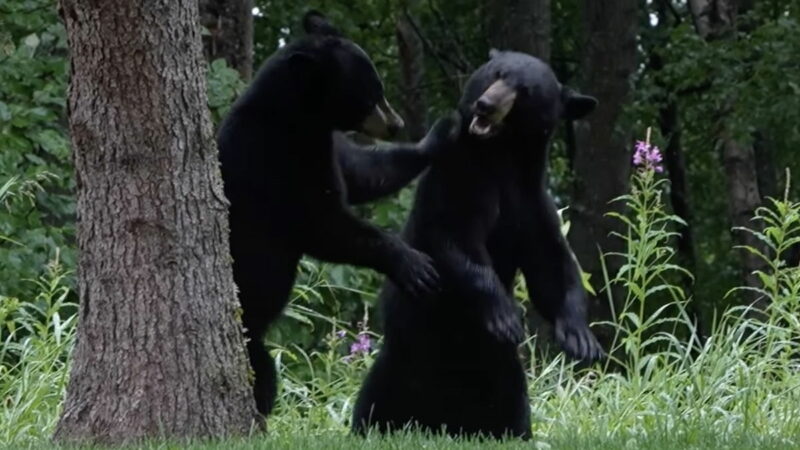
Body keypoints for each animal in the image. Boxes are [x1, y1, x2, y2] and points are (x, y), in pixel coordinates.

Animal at [219, 10, 454, 416]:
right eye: (370, 94)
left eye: (379, 88)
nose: (396, 124)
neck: (296, 120)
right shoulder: (267, 161)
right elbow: (323, 225)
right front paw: (412, 265)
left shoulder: (325, 147)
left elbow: (363, 172)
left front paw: (441, 133)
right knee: (262, 371)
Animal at [354, 50, 604, 440]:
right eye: (496, 74)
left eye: (525, 91)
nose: (485, 105)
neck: (499, 157)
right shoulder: (457, 181)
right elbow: (456, 243)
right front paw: (504, 315)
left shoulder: (530, 202)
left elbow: (551, 267)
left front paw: (580, 337)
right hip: (402, 353)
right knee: (376, 397)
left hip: (500, 372)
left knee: (513, 401)